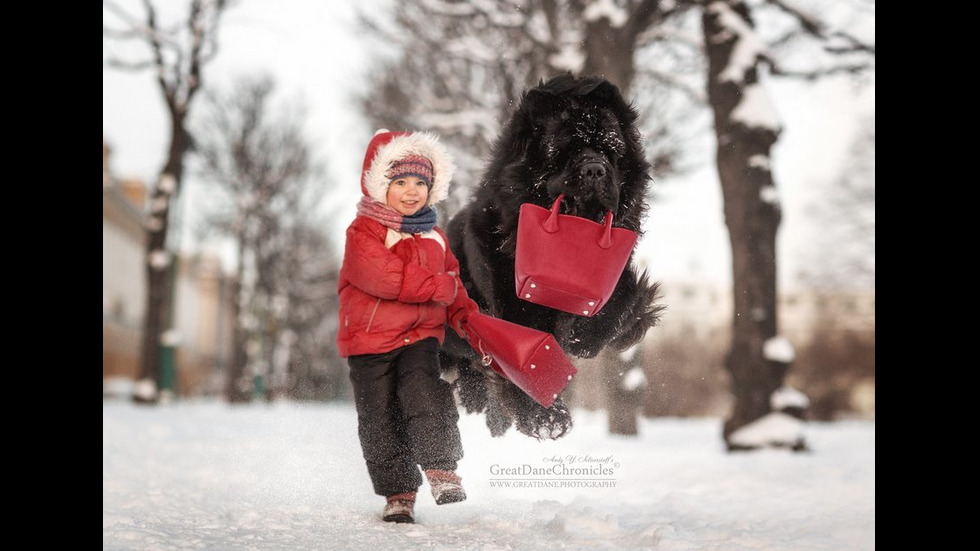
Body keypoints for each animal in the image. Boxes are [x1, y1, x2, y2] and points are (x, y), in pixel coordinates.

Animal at [438, 75, 664, 442]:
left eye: (611, 151)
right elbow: (527, 361)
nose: (594, 169)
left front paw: (583, 336)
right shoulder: (512, 306)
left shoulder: (618, 277)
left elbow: (623, 300)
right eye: (563, 151)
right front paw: (546, 419)